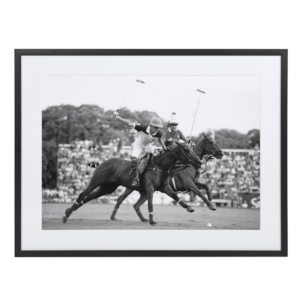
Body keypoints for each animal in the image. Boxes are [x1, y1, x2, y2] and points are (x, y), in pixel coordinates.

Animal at [61, 142, 200, 225]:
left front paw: (189, 207)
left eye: (192, 148)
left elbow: (176, 197)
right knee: (82, 194)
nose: (198, 161)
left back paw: (68, 211)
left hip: (108, 188)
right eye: (186, 150)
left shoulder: (164, 187)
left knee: (89, 197)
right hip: (96, 181)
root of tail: (101, 163)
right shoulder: (150, 188)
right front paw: (152, 220)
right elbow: (150, 204)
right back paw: (66, 216)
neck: (159, 166)